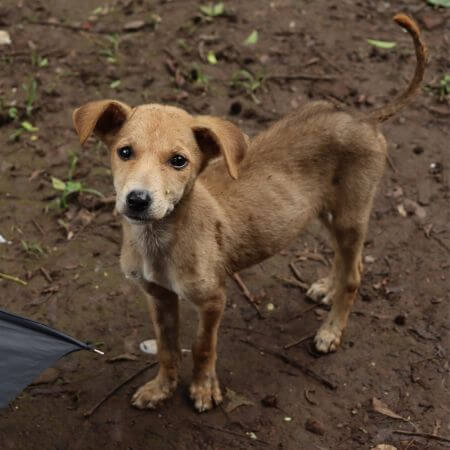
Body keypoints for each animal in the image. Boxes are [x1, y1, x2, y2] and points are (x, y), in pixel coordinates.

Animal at [73, 14, 426, 412]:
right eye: (124, 152)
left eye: (179, 161)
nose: (137, 200)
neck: (160, 240)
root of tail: (364, 119)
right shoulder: (158, 296)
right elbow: (166, 348)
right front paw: (161, 388)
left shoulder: (214, 300)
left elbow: (202, 347)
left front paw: (203, 389)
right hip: (324, 212)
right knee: (345, 257)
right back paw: (326, 287)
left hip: (352, 213)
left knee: (355, 274)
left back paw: (331, 329)